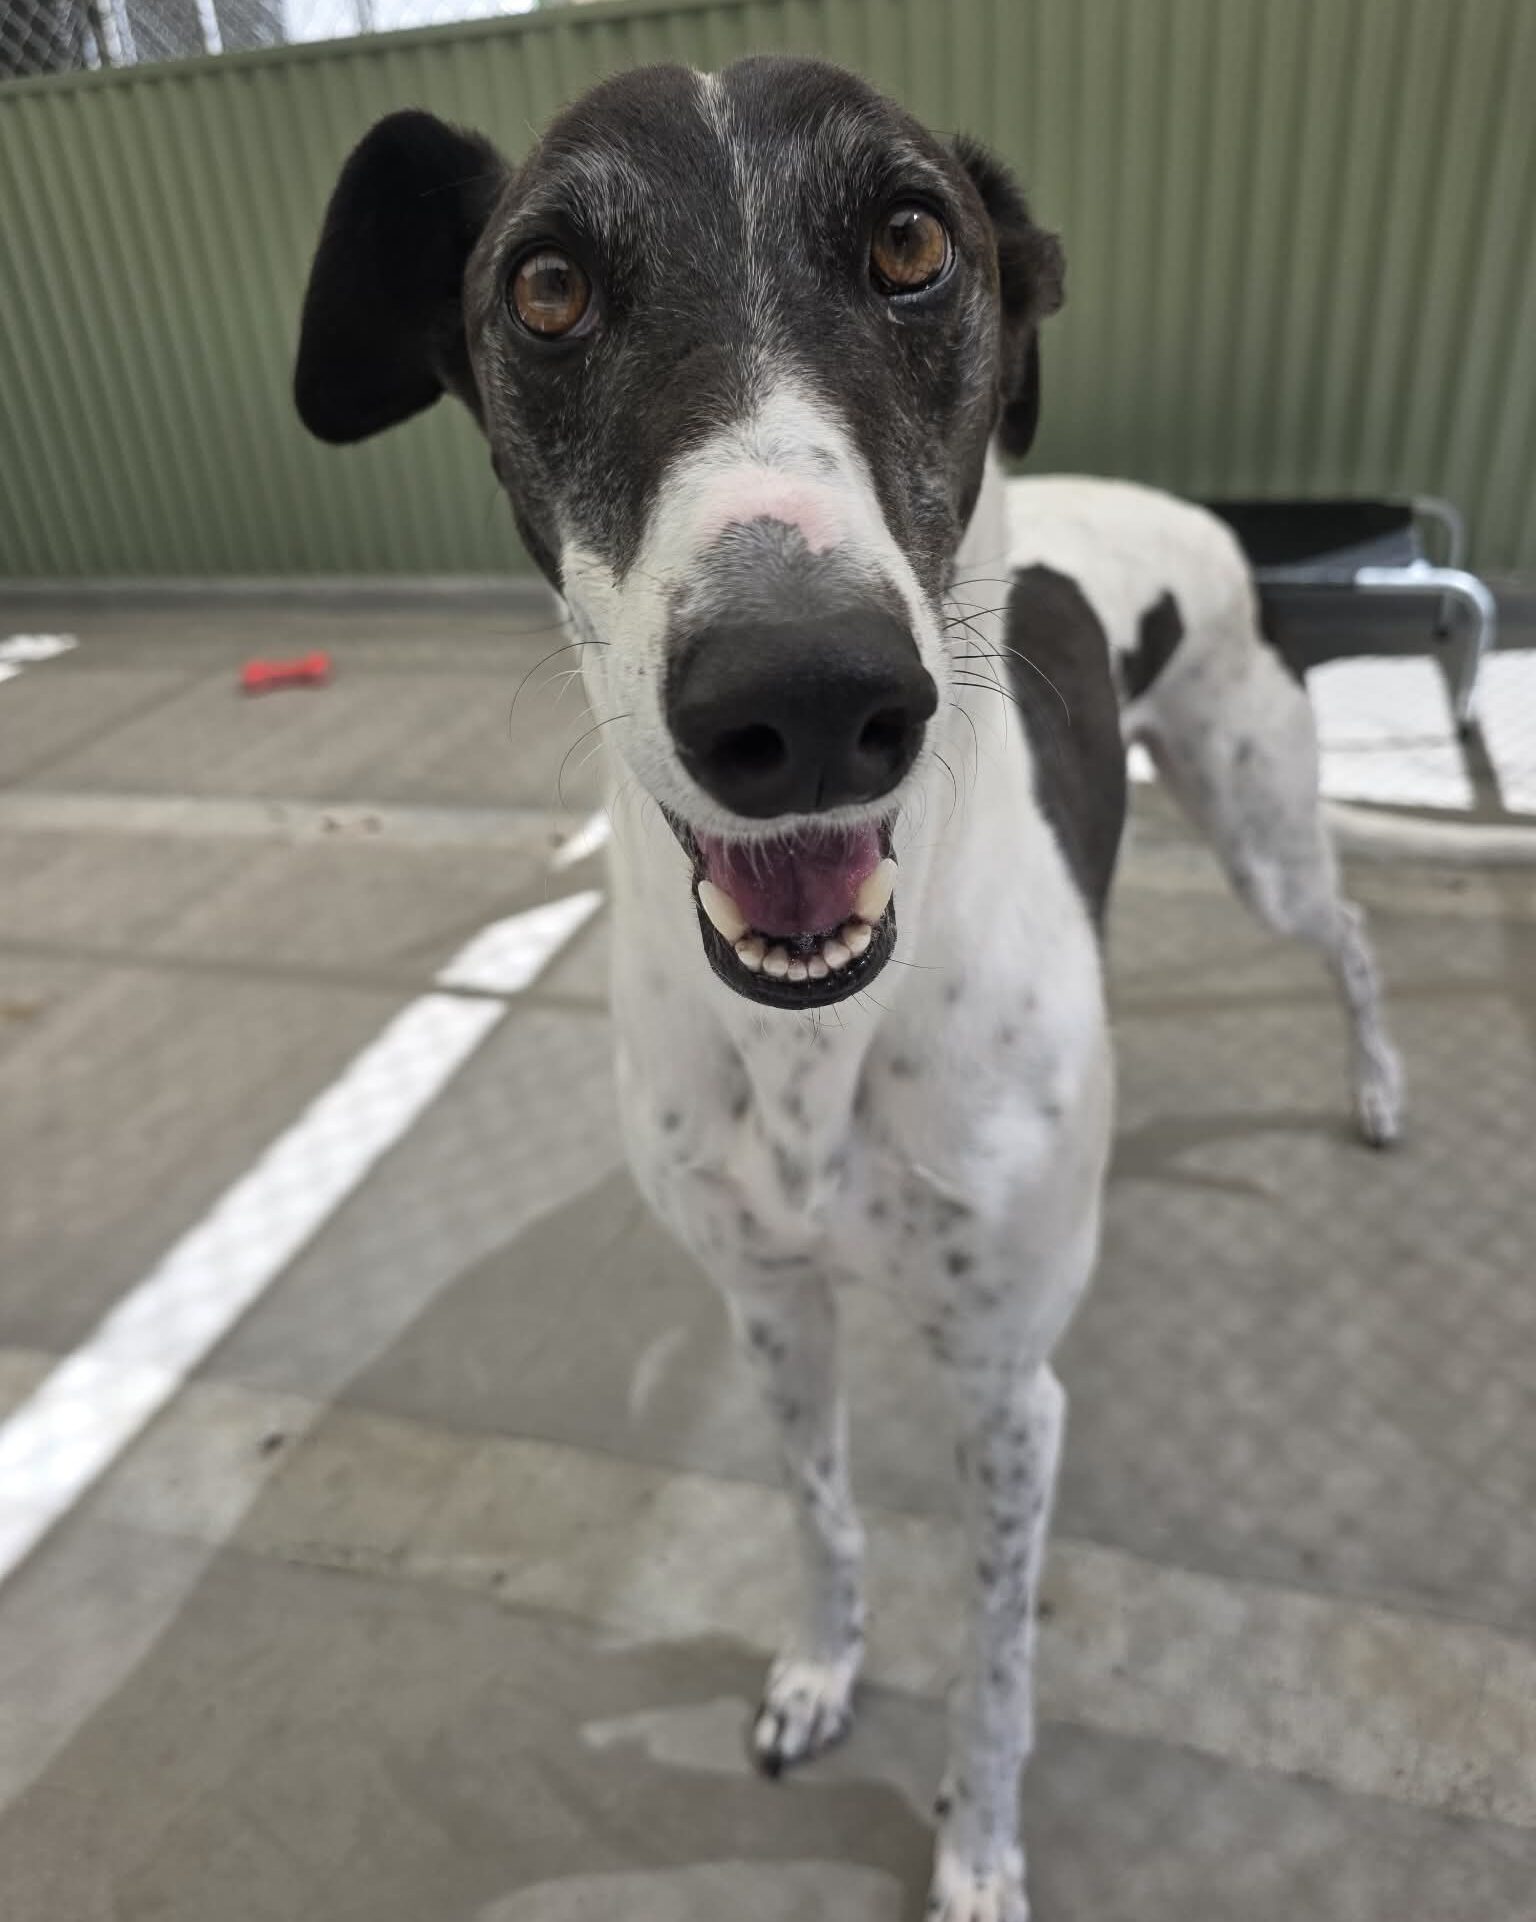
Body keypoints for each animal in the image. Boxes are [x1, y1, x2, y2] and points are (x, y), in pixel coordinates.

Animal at [294, 57, 1393, 1918]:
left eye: (910, 243)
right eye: (546, 284)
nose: (804, 695)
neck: (814, 1044)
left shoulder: (1010, 1388)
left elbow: (1001, 1660)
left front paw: (980, 1855)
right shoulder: (770, 1309)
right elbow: (818, 1510)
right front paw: (821, 1672)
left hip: (1263, 836)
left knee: (1358, 938)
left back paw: (1382, 1091)